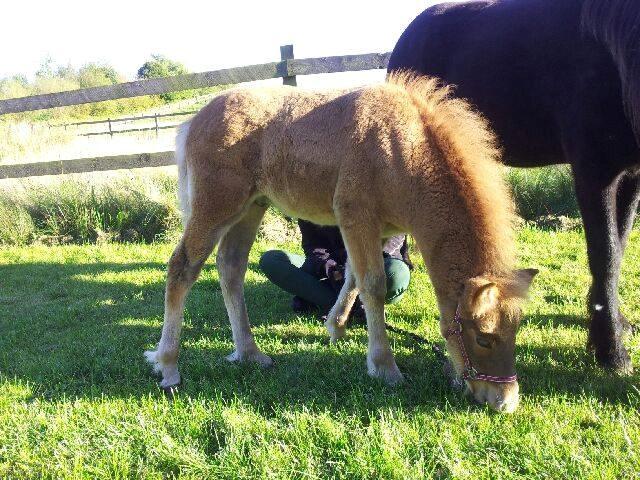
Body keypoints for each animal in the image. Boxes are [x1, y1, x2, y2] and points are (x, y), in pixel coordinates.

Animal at [384, 0, 640, 372]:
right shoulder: (594, 173)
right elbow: (605, 255)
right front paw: (612, 352)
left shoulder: (631, 175)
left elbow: (618, 251)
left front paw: (613, 329)